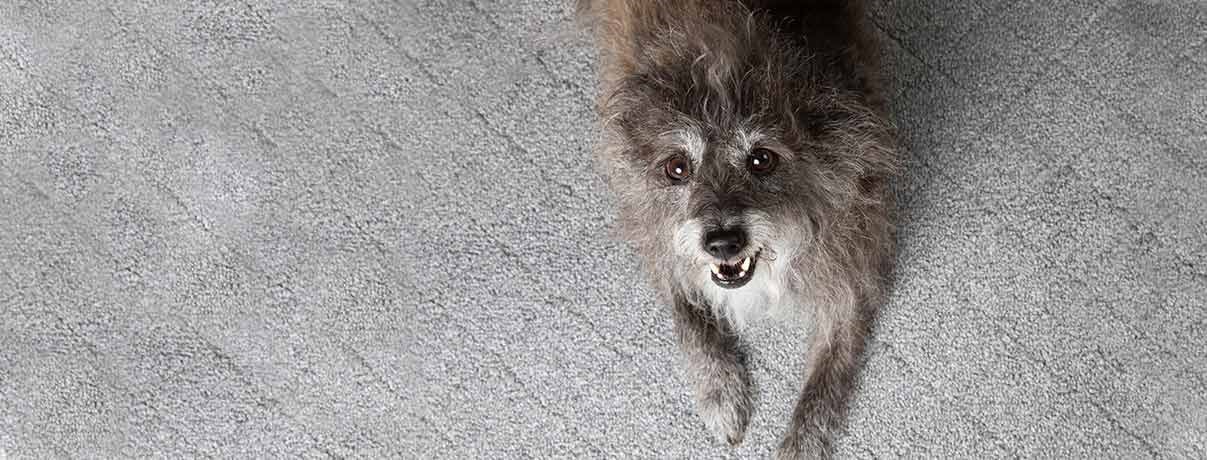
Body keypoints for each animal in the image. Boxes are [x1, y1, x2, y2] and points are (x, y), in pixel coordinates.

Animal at [579, 1, 902, 456]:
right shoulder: (658, 239)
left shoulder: (851, 269)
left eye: (761, 159)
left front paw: (801, 444)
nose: (722, 242)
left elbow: (826, 379)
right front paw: (720, 394)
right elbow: (690, 315)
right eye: (677, 167)